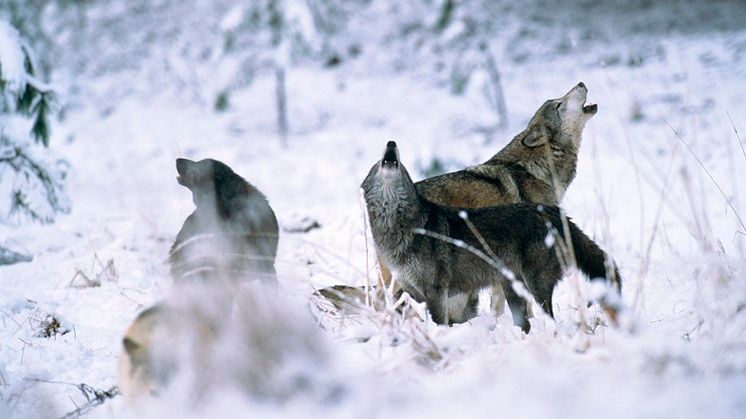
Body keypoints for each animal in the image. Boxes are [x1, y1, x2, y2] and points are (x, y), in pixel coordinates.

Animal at [358, 141, 616, 332]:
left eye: (401, 164)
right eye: (377, 163)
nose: (391, 143)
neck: (401, 227)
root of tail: (554, 213)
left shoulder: (436, 292)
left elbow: (440, 324)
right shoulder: (407, 290)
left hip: (535, 286)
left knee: (548, 320)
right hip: (513, 289)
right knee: (525, 325)